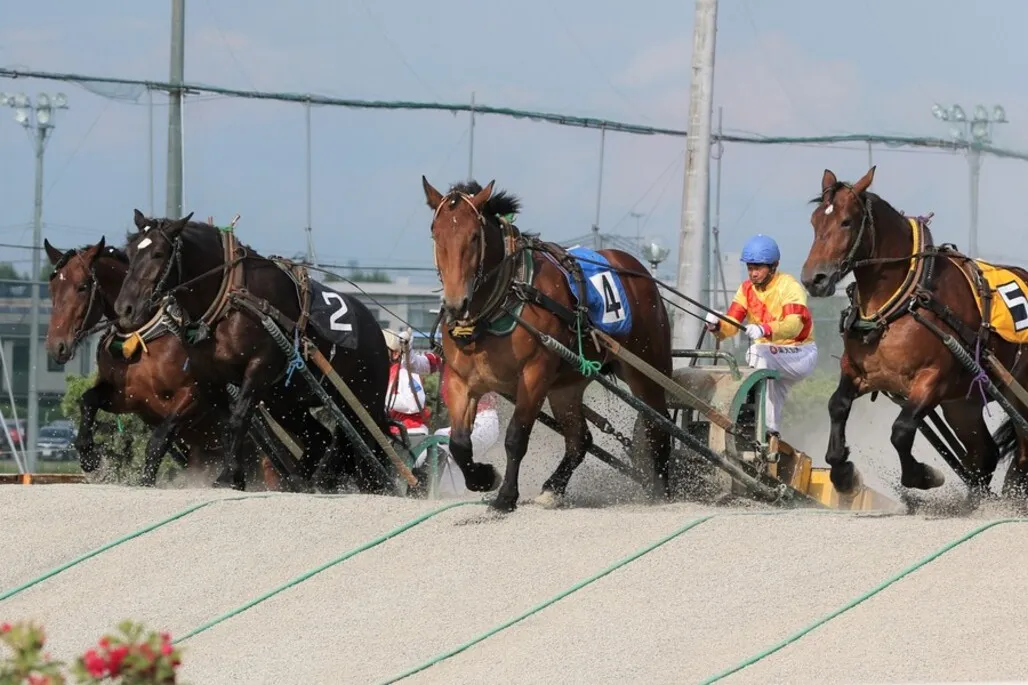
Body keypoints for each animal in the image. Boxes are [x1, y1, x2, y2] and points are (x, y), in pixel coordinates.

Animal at [110, 207, 392, 491]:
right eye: (130, 252)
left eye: (158, 253)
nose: (125, 309)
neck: (230, 301)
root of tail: (375, 329)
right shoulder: (207, 377)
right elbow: (211, 427)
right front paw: (234, 475)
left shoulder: (259, 367)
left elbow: (238, 420)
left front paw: (227, 476)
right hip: (285, 401)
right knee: (318, 438)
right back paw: (300, 480)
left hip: (365, 401)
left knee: (371, 446)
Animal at [419, 178, 674, 510]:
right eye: (436, 234)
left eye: (474, 237)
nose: (454, 304)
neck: (504, 299)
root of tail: (638, 271)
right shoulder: (461, 379)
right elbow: (459, 443)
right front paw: (484, 478)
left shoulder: (534, 375)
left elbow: (515, 437)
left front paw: (506, 496)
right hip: (567, 386)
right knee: (580, 439)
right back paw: (554, 487)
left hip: (647, 370)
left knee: (659, 428)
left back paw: (661, 491)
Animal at [797, 164, 1028, 495]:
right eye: (815, 221)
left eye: (846, 221)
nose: (813, 278)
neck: (904, 300)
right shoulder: (858, 370)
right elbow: (837, 405)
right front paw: (842, 470)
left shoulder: (933, 380)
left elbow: (901, 430)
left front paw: (923, 475)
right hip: (963, 404)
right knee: (983, 456)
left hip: (1014, 392)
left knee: (1020, 455)